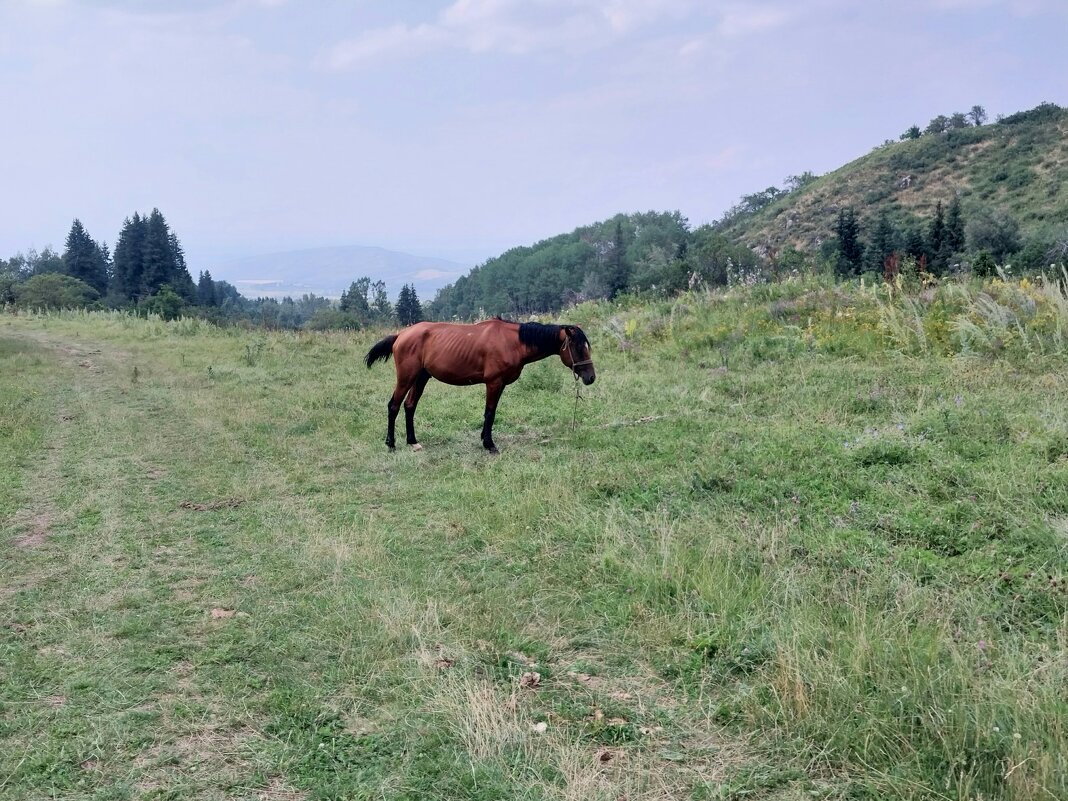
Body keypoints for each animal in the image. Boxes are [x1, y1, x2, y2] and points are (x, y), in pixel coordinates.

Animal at [367, 322, 593, 457]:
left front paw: (486, 441)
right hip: (407, 377)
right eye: (578, 347)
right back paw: (391, 444)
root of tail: (401, 335)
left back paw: (413, 442)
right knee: (394, 406)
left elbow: (490, 413)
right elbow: (490, 413)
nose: (591, 377)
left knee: (410, 406)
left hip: (421, 377)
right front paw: (489, 444)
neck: (512, 342)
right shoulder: (494, 382)